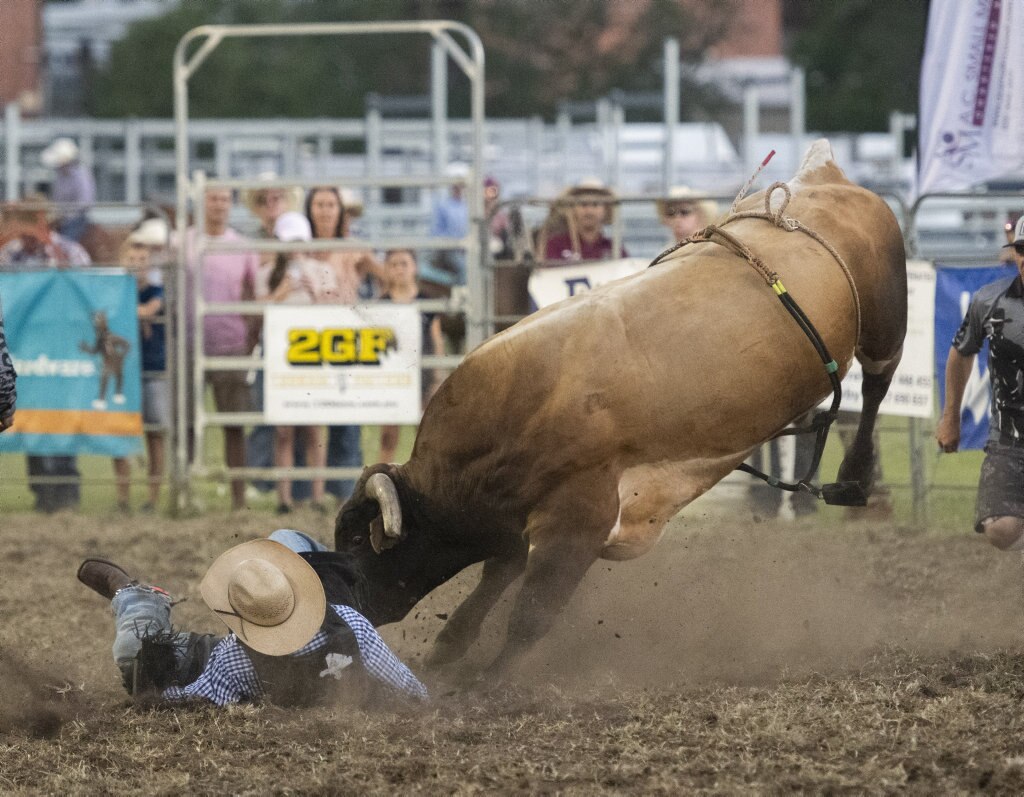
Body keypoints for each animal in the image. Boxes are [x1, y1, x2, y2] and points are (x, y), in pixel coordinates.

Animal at [333, 139, 905, 672]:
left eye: (359, 542)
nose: (341, 614)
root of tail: (823, 175)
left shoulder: (579, 518)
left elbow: (529, 616)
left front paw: (482, 684)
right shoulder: (516, 520)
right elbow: (489, 587)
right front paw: (445, 657)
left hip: (885, 322)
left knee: (876, 387)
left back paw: (854, 479)